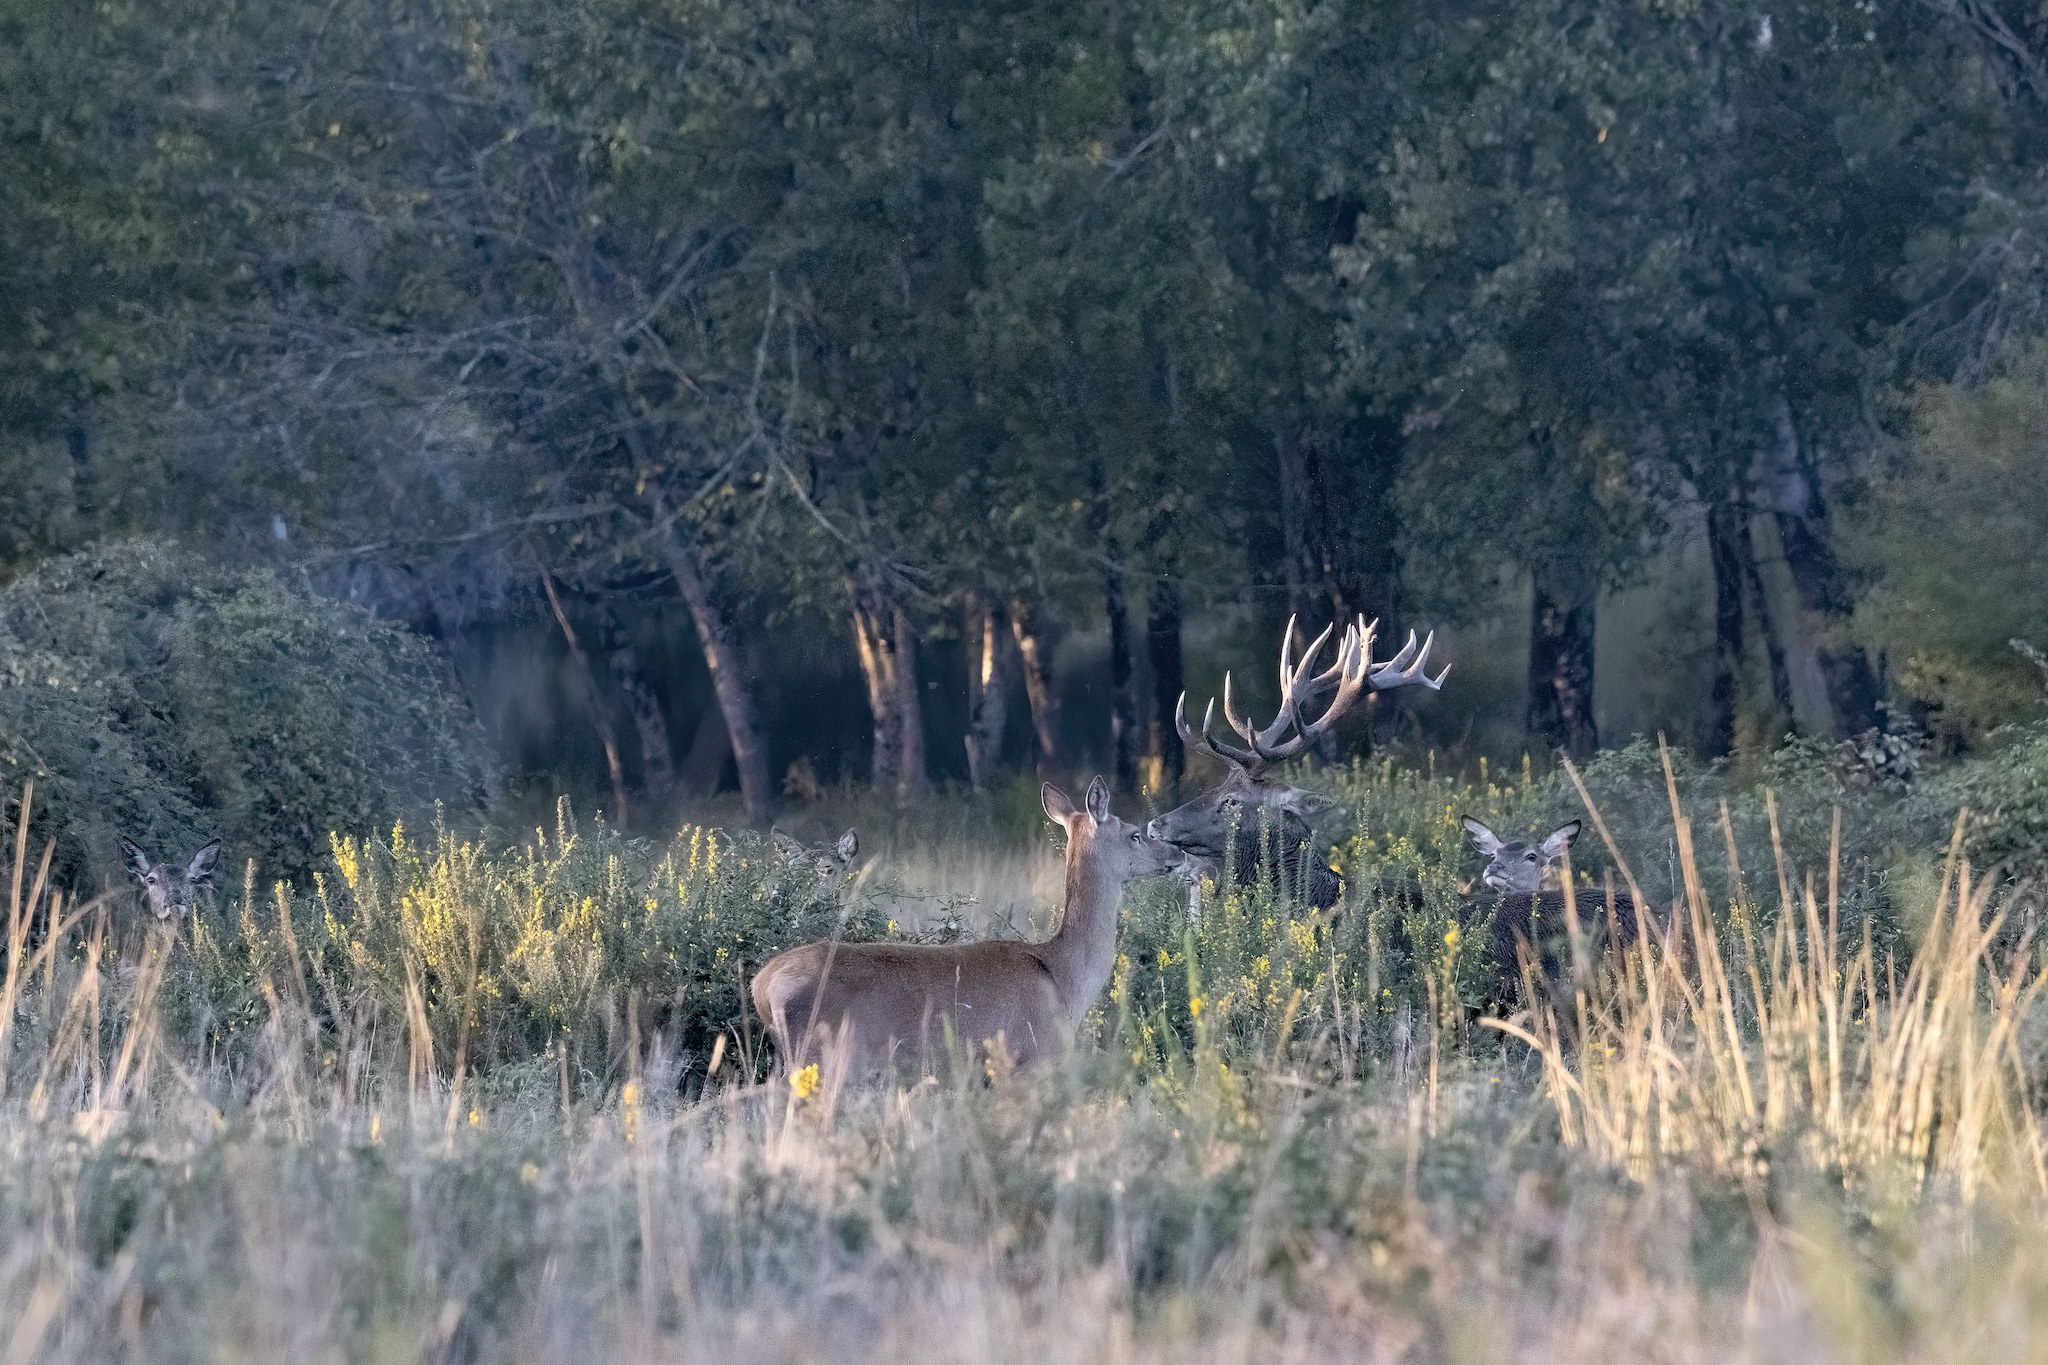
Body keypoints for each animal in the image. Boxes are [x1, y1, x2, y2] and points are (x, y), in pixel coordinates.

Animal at [751, 778, 1183, 1080]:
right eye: (1134, 834)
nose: (1177, 852)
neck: (1065, 979)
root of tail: (761, 984)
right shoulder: (1032, 1061)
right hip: (817, 1056)